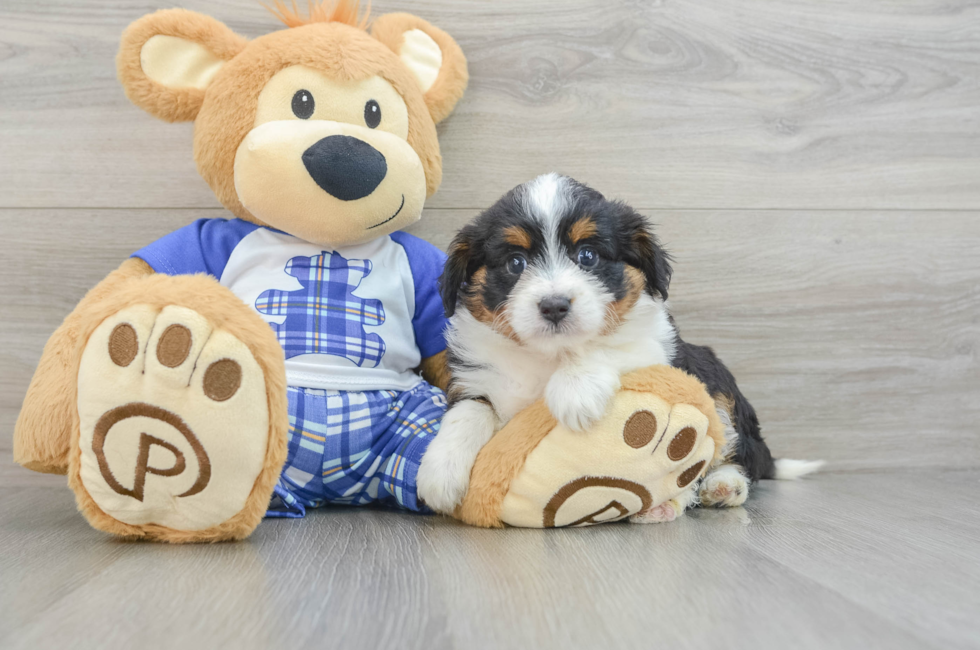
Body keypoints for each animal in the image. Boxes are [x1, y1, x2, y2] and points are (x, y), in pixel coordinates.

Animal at [416, 175, 820, 520]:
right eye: (516, 262)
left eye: (588, 256)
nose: (554, 306)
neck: (550, 356)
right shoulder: (477, 376)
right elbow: (469, 411)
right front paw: (440, 472)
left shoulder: (659, 348)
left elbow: (608, 344)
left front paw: (575, 391)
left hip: (716, 379)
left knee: (737, 452)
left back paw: (721, 486)